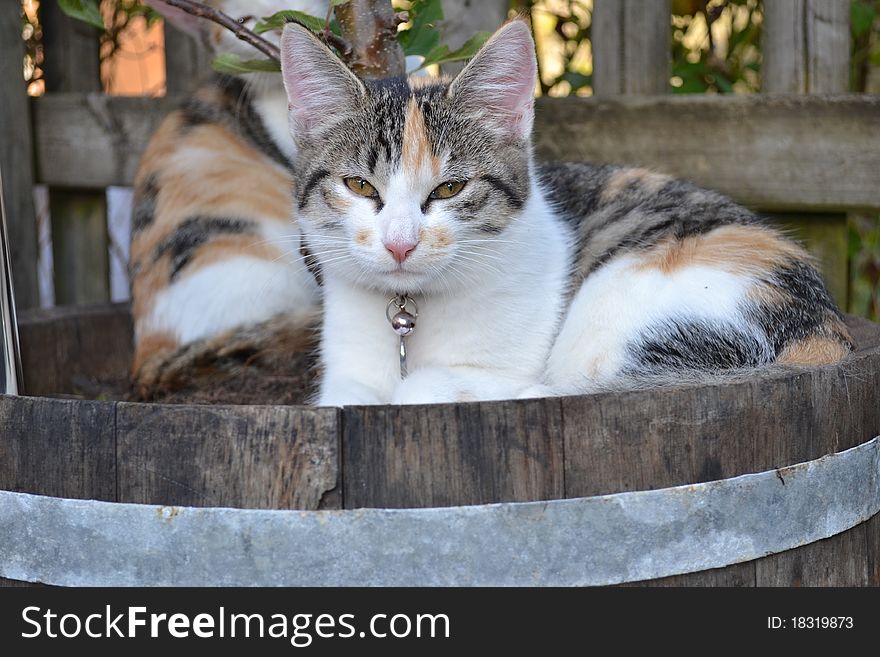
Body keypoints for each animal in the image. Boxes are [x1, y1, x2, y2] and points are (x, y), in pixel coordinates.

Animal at [276, 20, 852, 404]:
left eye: (450, 188)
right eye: (358, 185)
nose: (400, 243)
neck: (411, 312)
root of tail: (826, 330)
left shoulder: (499, 371)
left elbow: (429, 386)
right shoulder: (343, 378)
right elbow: (349, 397)